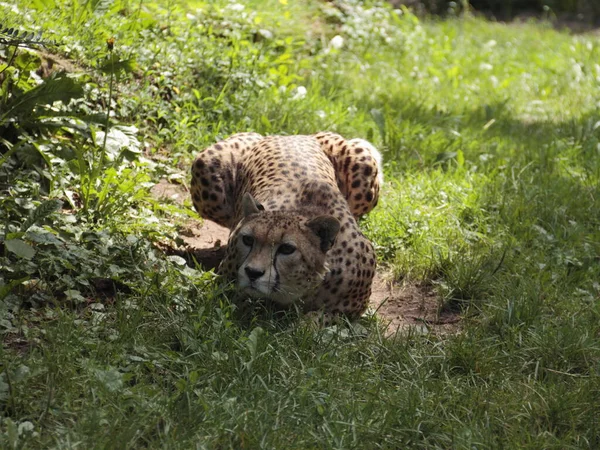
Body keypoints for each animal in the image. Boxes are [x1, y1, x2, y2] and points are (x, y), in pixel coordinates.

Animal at [190, 131, 382, 320]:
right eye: (248, 240)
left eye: (287, 249)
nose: (252, 272)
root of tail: (294, 134)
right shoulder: (224, 286)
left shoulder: (354, 310)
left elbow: (317, 319)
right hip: (206, 168)